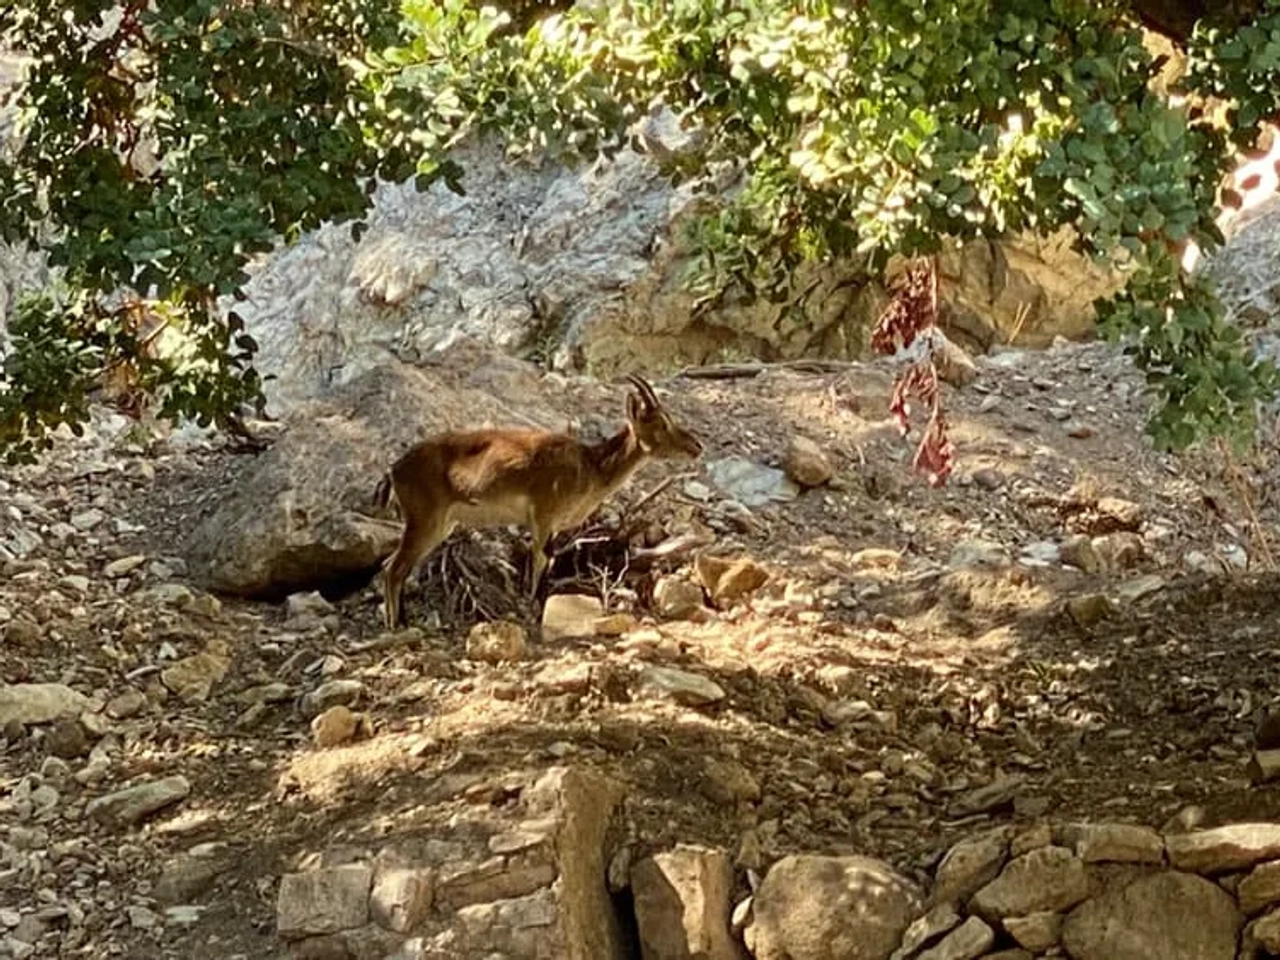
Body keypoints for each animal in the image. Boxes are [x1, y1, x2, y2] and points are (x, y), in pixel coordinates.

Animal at [372, 374, 703, 629]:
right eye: (661, 423)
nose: (696, 447)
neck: (590, 466)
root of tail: (394, 470)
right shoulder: (543, 515)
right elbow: (541, 559)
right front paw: (533, 612)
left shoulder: (552, 525)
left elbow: (549, 560)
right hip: (424, 520)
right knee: (393, 569)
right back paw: (394, 626)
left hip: (440, 526)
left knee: (393, 566)